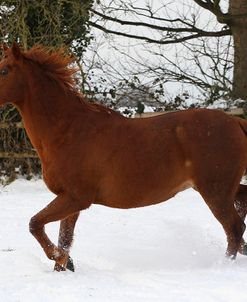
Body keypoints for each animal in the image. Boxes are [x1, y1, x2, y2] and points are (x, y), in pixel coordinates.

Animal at [0, 43, 247, 272]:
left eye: (4, 70)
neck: (67, 130)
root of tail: (235, 122)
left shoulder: (76, 198)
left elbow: (35, 224)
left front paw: (60, 258)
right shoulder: (69, 200)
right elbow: (64, 238)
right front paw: (64, 265)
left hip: (215, 191)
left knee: (234, 228)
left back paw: (223, 265)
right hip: (221, 188)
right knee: (240, 215)